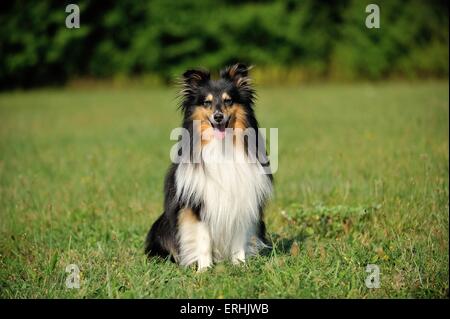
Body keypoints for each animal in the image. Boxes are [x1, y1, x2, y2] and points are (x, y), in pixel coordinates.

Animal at [145, 63, 270, 272]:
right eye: (206, 103)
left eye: (228, 101)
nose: (218, 117)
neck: (221, 148)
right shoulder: (198, 205)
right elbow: (203, 240)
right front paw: (204, 270)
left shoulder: (241, 200)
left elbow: (238, 240)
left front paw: (240, 265)